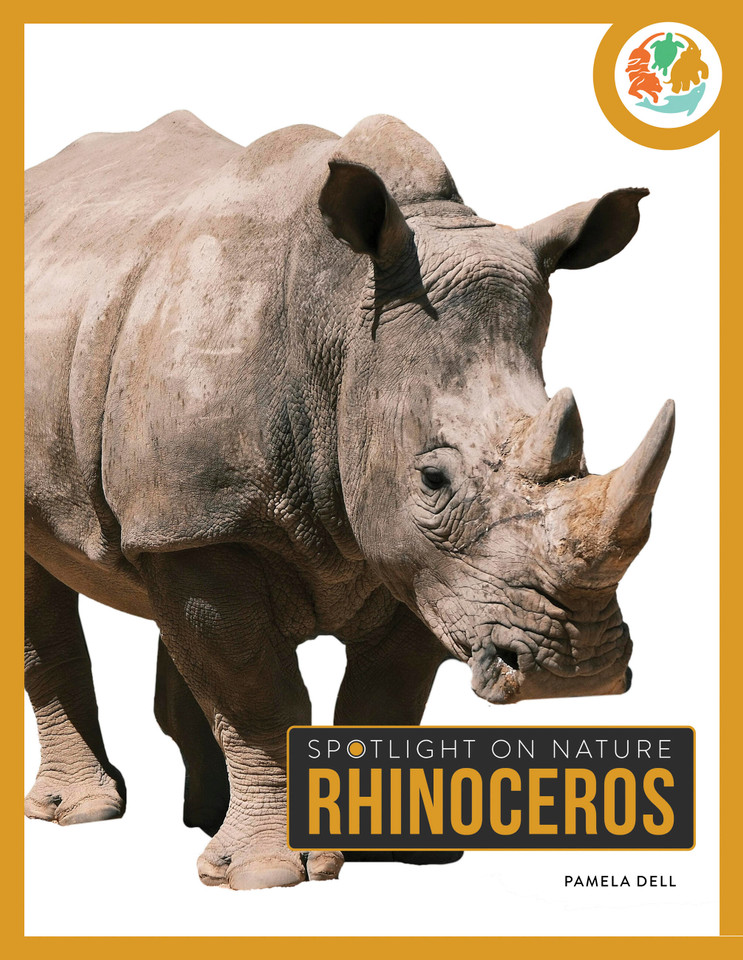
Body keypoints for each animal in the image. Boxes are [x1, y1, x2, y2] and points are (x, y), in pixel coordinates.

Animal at [24, 111, 674, 891]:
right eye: (433, 481)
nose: (577, 670)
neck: (337, 322)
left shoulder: (418, 562)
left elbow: (385, 697)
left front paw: (399, 851)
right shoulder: (216, 525)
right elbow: (255, 692)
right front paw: (265, 875)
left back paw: (203, 819)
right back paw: (84, 814)